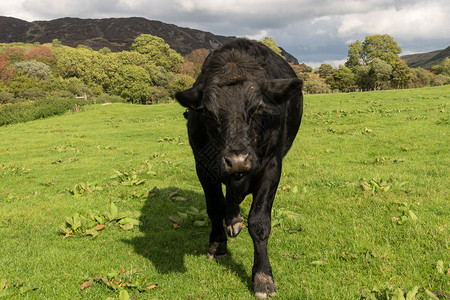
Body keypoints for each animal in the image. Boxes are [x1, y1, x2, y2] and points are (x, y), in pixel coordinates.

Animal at [176, 38, 302, 298]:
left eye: (258, 107)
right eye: (207, 111)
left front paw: (263, 276)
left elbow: (260, 222)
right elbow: (215, 207)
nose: (238, 160)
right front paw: (217, 244)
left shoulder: (272, 166)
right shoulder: (204, 166)